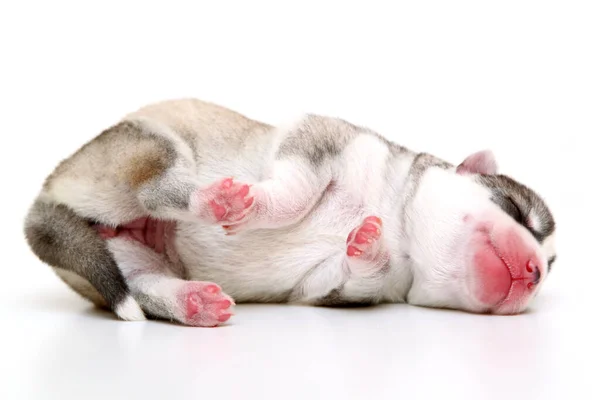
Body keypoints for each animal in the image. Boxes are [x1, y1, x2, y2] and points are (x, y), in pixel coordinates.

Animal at [24, 98, 556, 326]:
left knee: (145, 286)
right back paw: (212, 199)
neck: (401, 230)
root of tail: (44, 199)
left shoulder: (320, 287)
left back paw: (193, 302)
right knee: (159, 189)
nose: (534, 273)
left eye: (549, 269)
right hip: (148, 147)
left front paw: (367, 246)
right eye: (518, 212)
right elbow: (295, 192)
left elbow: (347, 277)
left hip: (128, 259)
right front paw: (259, 205)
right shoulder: (319, 140)